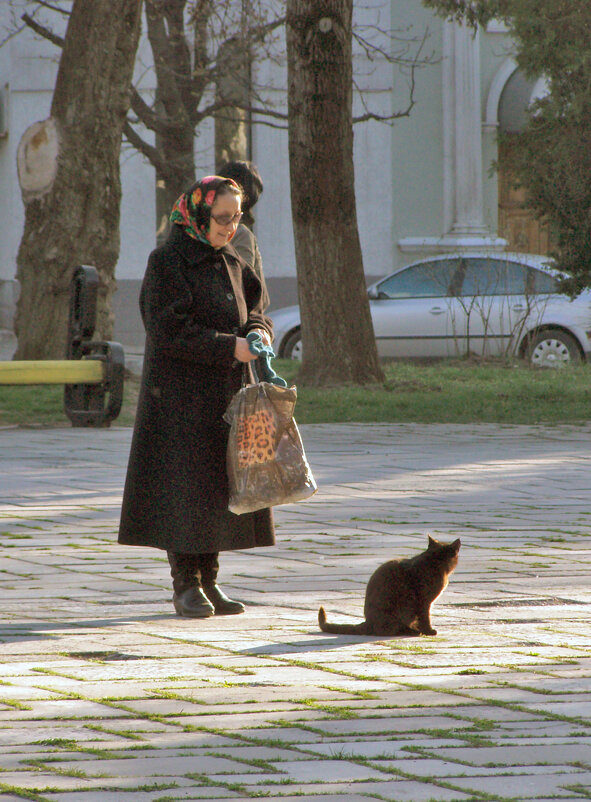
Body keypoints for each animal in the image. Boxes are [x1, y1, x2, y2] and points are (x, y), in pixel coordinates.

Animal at [320, 536, 462, 636]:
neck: (434, 563)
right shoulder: (424, 602)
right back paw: (413, 631)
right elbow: (425, 618)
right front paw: (429, 631)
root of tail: (367, 622)